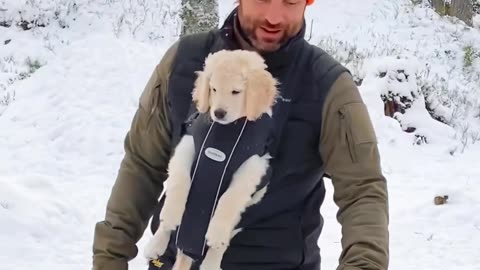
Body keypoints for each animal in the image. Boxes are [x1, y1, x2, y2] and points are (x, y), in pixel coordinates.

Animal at [143, 49, 278, 270]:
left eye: (236, 91)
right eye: (213, 89)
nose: (219, 113)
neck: (226, 130)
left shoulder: (254, 165)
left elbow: (230, 197)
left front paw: (216, 231)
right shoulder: (188, 144)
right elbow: (180, 181)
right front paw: (172, 213)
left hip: (242, 216)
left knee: (224, 242)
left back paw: (212, 261)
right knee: (166, 229)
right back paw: (155, 244)